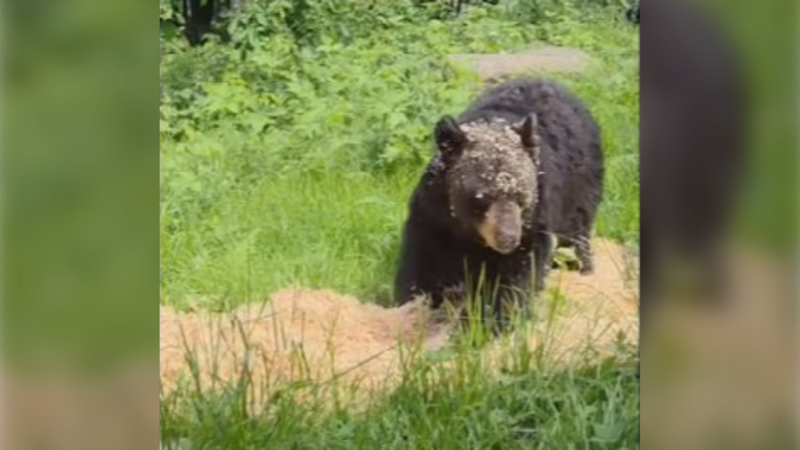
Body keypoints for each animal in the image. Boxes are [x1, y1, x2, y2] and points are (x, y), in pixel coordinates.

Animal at [394, 78, 604, 326]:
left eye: (521, 196)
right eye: (480, 197)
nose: (507, 237)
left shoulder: (535, 220)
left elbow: (518, 275)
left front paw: (492, 320)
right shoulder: (435, 216)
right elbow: (424, 264)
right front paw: (411, 305)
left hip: (579, 191)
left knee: (576, 236)